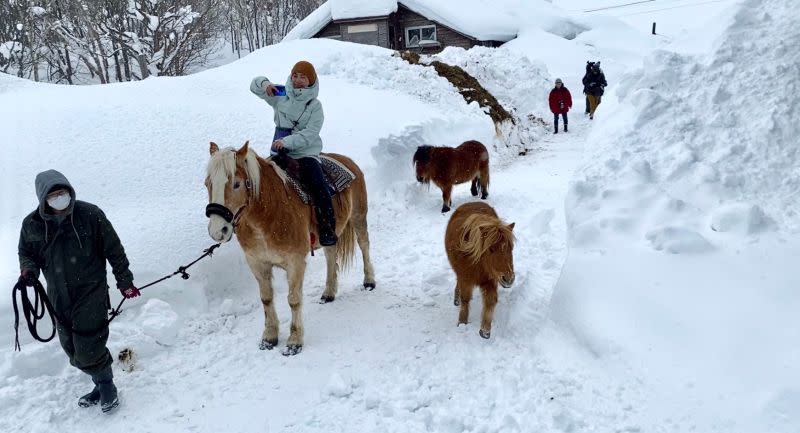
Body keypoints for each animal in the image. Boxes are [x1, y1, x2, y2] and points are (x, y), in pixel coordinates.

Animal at [205, 142, 376, 354]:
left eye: (236, 184)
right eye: (207, 183)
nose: (217, 230)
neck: (269, 213)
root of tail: (347, 160)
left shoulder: (295, 262)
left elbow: (293, 299)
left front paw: (295, 341)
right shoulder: (256, 262)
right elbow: (266, 298)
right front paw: (269, 337)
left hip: (359, 217)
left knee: (364, 245)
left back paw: (369, 281)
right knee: (331, 256)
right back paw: (328, 293)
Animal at [440, 201, 516, 340]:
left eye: (511, 248)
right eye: (490, 249)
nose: (508, 279)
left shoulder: (490, 281)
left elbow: (490, 302)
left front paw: (485, 330)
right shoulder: (465, 278)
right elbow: (465, 300)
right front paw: (462, 322)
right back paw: (456, 299)